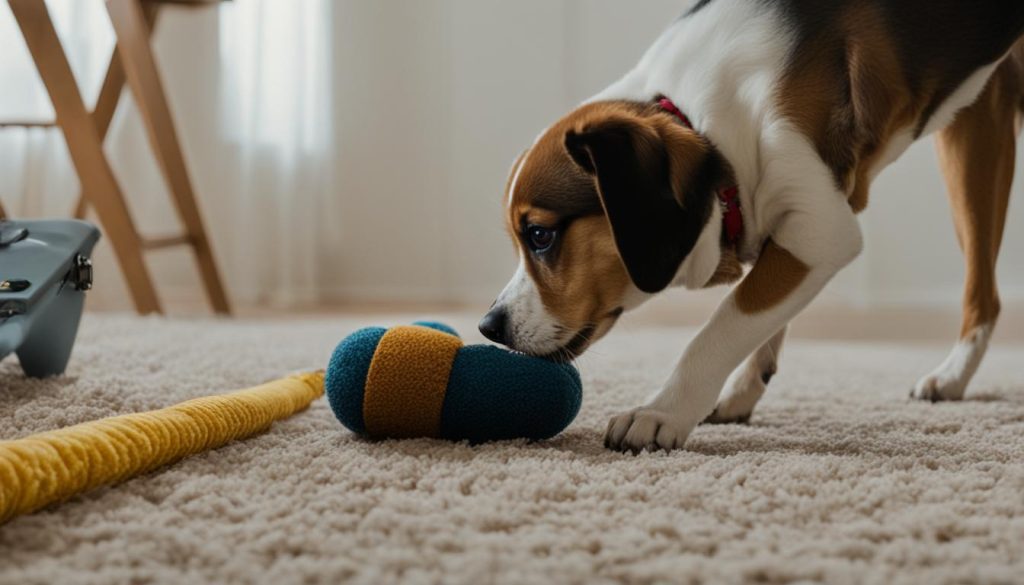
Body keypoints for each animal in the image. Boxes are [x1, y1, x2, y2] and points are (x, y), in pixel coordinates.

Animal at [477, 0, 1024, 452]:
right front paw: (742, 388)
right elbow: (764, 315)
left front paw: (662, 412)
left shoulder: (821, 230)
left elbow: (724, 323)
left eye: (540, 236)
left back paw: (951, 376)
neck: (704, 123)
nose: (489, 326)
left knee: (983, 295)